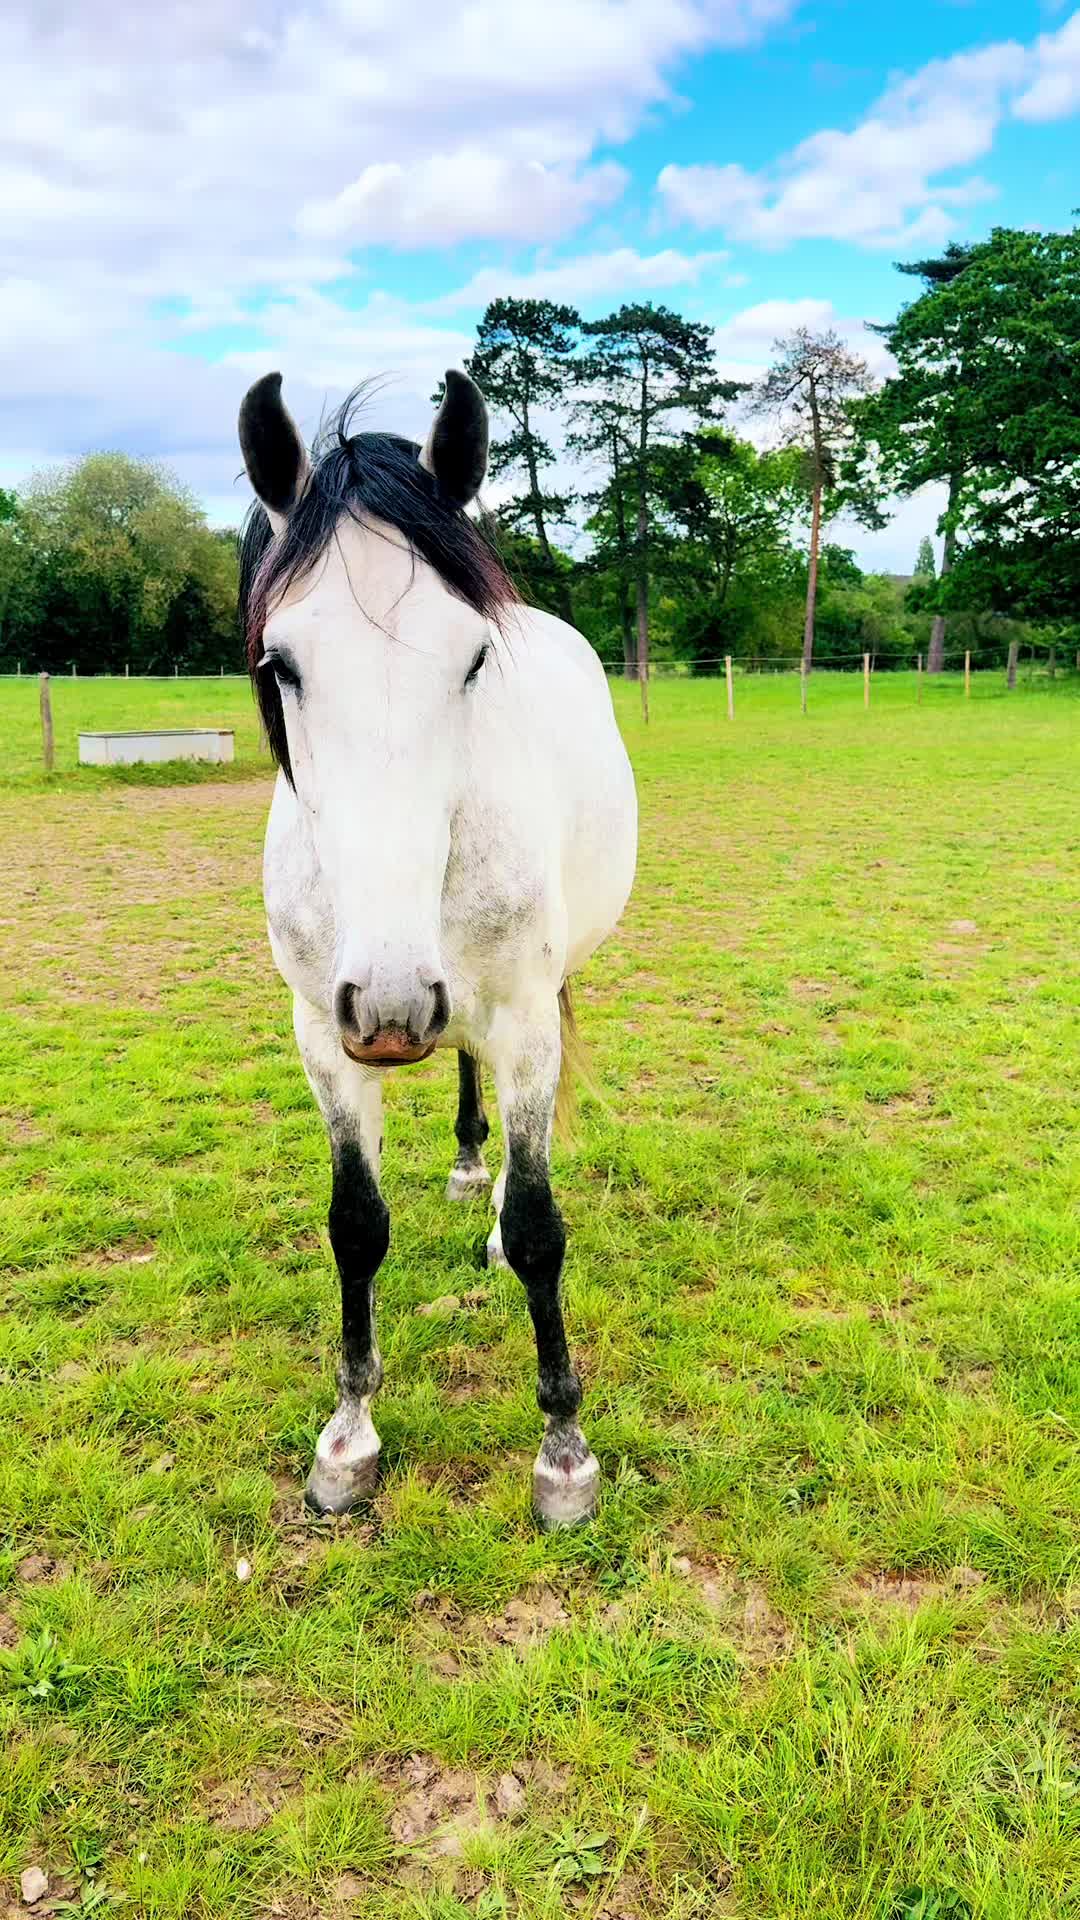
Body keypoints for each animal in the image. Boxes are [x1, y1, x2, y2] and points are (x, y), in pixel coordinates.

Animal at [237, 369, 637, 1527]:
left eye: (472, 659)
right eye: (281, 663)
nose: (392, 1000)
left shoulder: (527, 1021)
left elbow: (545, 1229)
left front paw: (563, 1454)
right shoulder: (323, 1034)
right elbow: (355, 1225)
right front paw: (348, 1437)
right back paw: (467, 1164)